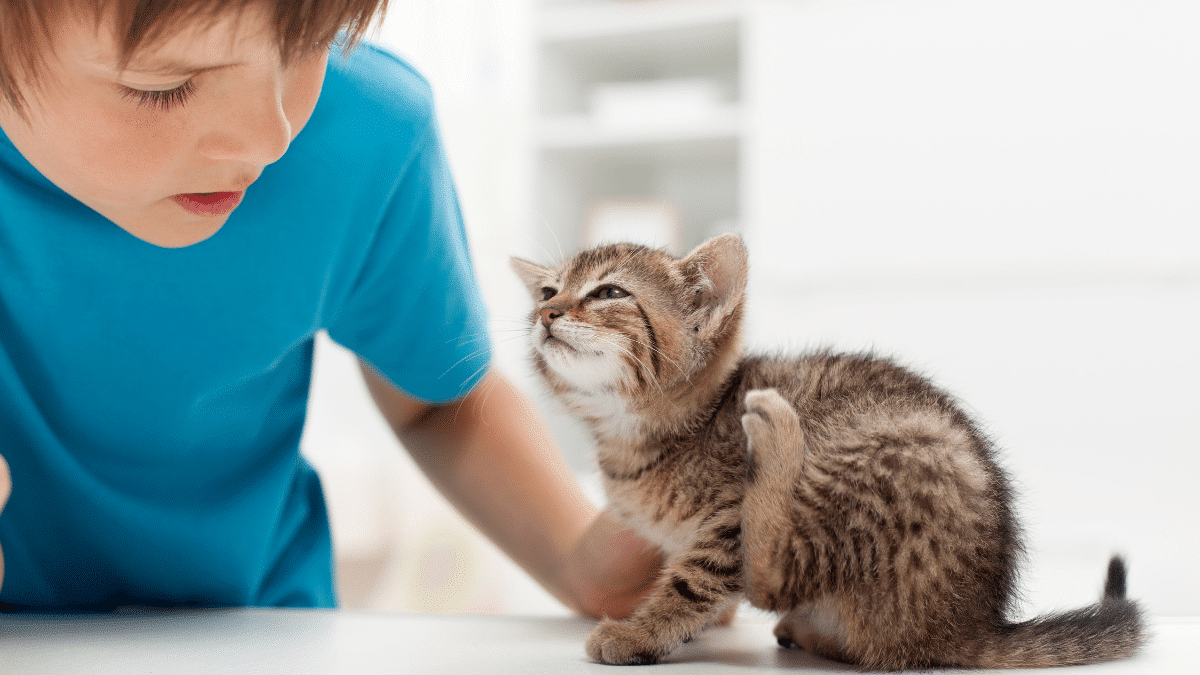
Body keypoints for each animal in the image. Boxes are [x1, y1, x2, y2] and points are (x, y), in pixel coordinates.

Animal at [510, 233, 1145, 669]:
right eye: (549, 291)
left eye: (609, 292)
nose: (547, 313)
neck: (635, 436)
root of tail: (971, 624)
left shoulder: (723, 524)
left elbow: (696, 582)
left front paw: (640, 633)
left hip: (877, 450)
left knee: (775, 577)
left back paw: (778, 434)